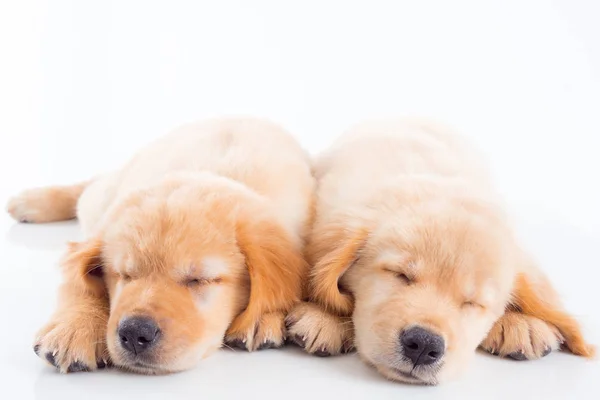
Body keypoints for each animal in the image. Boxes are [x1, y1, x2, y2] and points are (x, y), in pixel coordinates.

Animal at [8, 118, 314, 376]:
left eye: (199, 280)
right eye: (124, 275)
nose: (134, 334)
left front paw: (263, 318)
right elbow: (77, 283)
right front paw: (76, 326)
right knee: (91, 185)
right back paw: (30, 202)